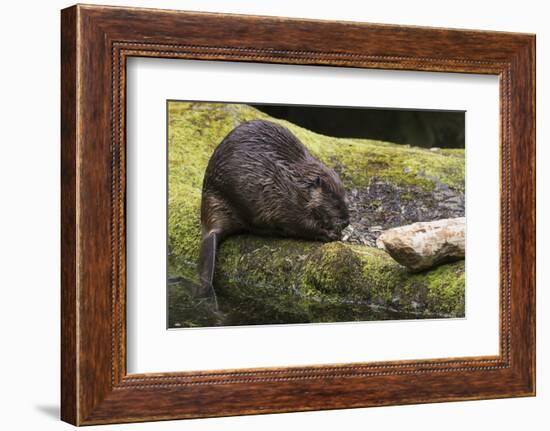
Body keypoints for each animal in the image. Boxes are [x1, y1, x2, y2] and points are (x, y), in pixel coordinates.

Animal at [201, 119, 352, 308]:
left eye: (345, 199)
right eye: (335, 203)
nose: (346, 221)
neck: (297, 183)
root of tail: (210, 230)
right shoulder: (284, 199)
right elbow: (301, 224)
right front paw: (330, 234)